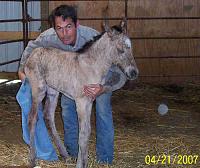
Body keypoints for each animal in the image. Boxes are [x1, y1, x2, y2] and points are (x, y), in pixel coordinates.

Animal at [24, 20, 138, 167]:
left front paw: (84, 161)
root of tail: (33, 53)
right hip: (38, 90)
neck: (92, 67)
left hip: (53, 91)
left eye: (131, 47)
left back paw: (65, 155)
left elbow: (87, 131)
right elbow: (83, 134)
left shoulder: (89, 101)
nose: (133, 73)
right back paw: (32, 158)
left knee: (48, 116)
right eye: (120, 49)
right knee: (32, 118)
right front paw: (80, 164)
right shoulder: (81, 102)